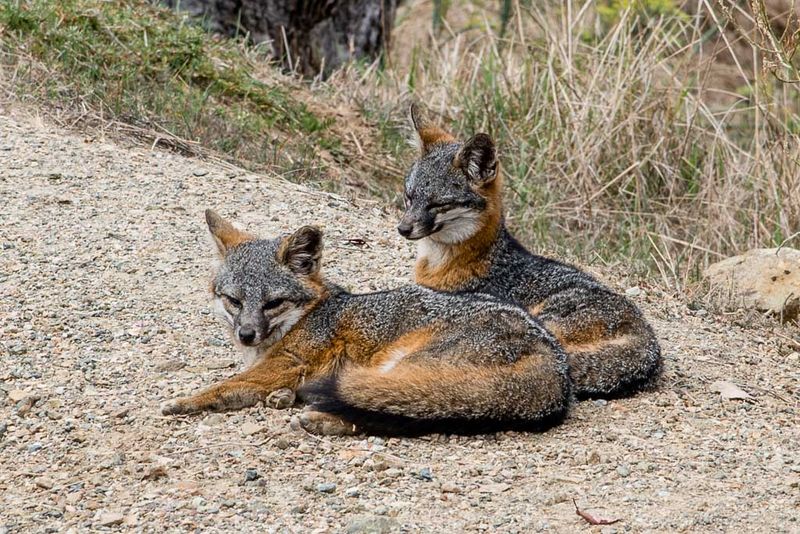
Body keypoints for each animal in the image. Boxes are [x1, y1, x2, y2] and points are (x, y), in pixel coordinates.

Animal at [159, 211, 572, 438]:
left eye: (273, 303)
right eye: (234, 300)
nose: (246, 335)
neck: (310, 314)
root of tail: (556, 363)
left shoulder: (286, 365)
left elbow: (227, 386)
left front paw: (186, 400)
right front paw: (281, 398)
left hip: (404, 368)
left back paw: (318, 420)